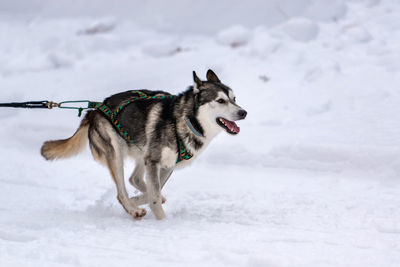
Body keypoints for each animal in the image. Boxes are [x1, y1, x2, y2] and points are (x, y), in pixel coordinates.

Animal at [40, 70, 247, 221]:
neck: (183, 120)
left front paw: (146, 200)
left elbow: (155, 191)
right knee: (122, 191)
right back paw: (133, 209)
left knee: (134, 179)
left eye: (234, 99)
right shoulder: (154, 161)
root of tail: (94, 110)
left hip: (142, 153)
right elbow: (154, 196)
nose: (243, 112)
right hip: (116, 154)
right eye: (220, 100)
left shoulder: (165, 165)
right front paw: (162, 221)